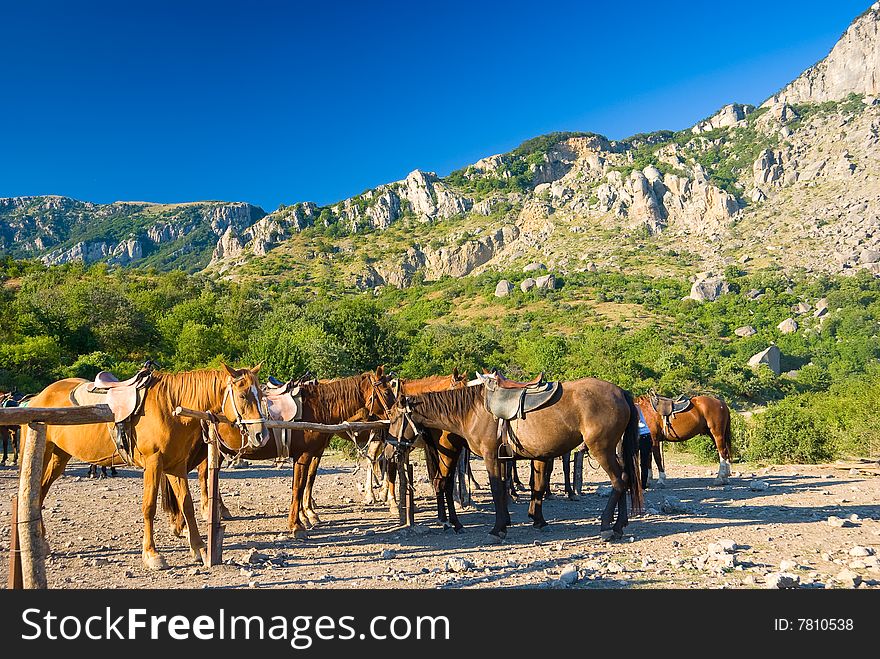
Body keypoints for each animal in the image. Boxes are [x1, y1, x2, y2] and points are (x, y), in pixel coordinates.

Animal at [28, 366, 268, 572]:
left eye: (261, 396)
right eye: (243, 395)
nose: (261, 435)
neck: (170, 408)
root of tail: (39, 396)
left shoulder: (175, 466)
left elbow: (186, 504)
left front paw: (200, 548)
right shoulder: (153, 464)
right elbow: (149, 507)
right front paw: (152, 555)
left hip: (60, 456)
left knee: (41, 490)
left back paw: (42, 542)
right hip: (46, 452)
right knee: (37, 492)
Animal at [388, 378, 644, 544]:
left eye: (395, 417)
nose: (391, 449)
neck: (472, 411)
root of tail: (621, 392)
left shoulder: (492, 456)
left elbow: (497, 489)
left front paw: (497, 529)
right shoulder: (506, 458)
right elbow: (512, 488)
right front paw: (514, 523)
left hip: (602, 449)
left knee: (619, 480)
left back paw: (607, 527)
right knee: (626, 478)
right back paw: (619, 525)